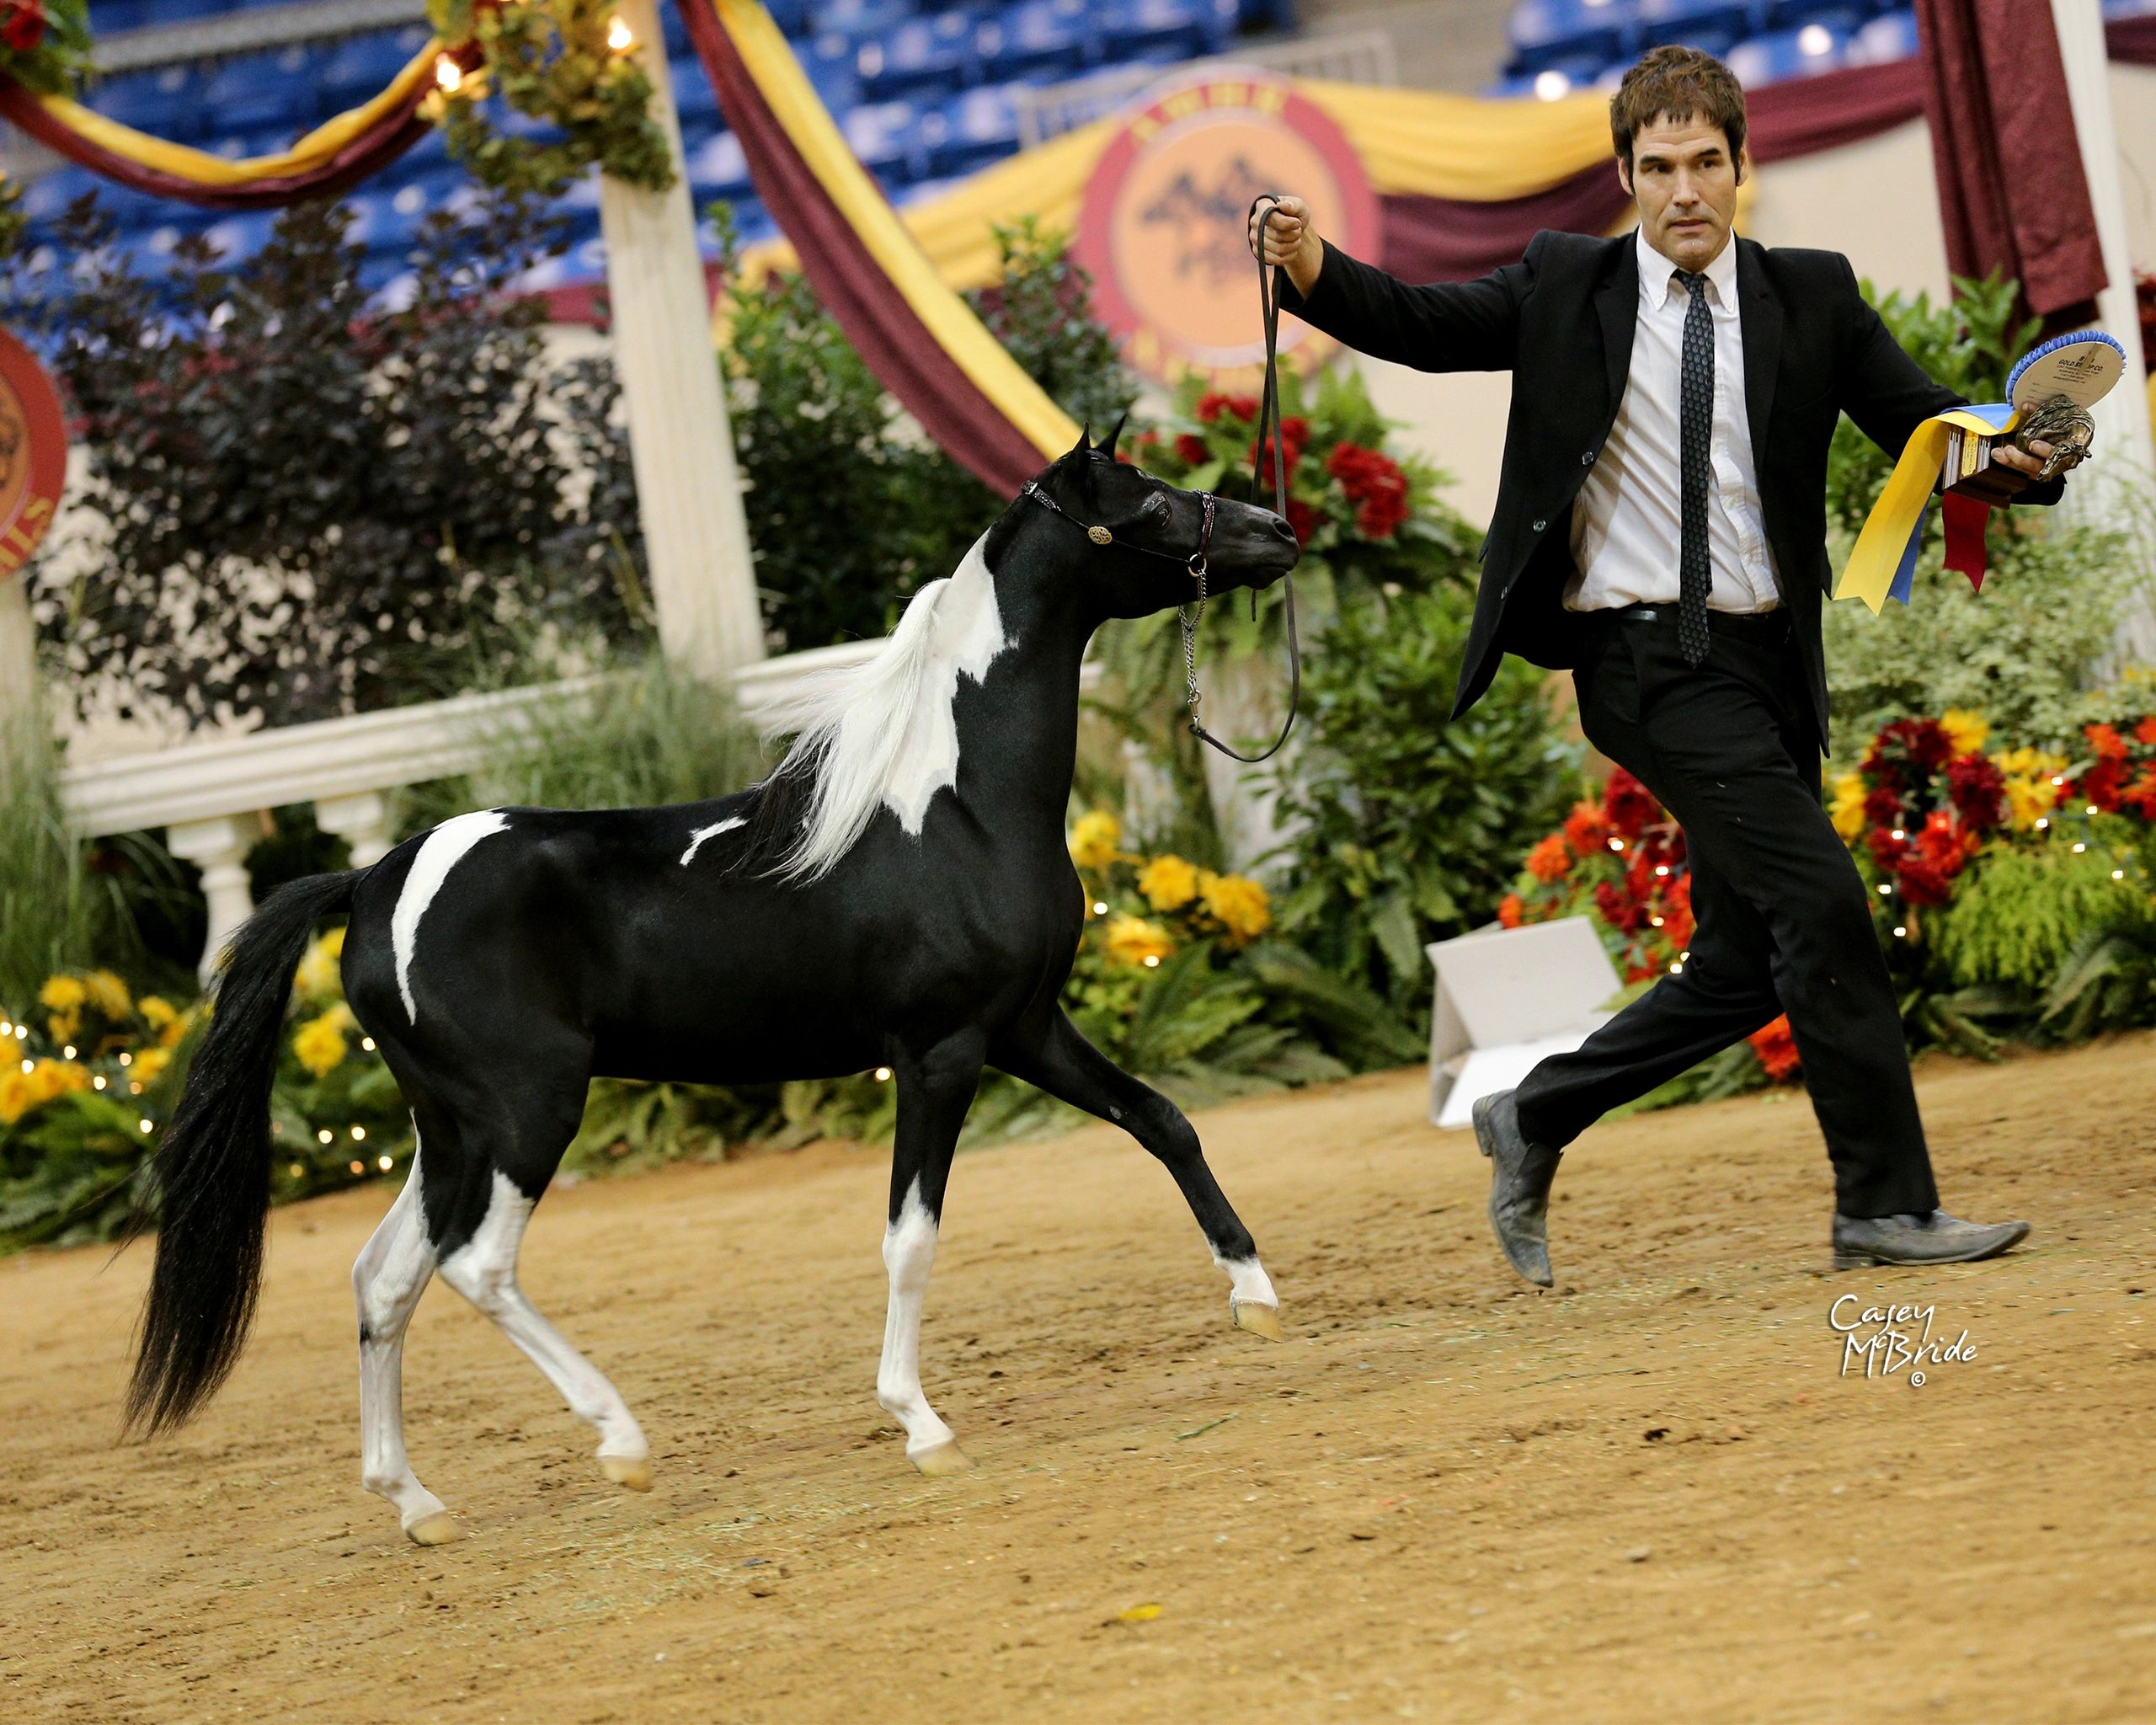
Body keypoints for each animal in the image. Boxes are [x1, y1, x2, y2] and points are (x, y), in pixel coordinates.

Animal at [123, 425, 1303, 1546]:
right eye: (1147, 504)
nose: (1277, 531)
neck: (955, 802)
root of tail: (372, 880)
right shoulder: (940, 1053)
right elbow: (911, 1237)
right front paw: (920, 1423)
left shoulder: (1026, 1027)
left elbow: (1161, 1119)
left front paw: (1256, 1295)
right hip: (527, 1110)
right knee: (477, 1265)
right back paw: (620, 1440)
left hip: (447, 1127)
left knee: (385, 1276)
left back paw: (417, 1503)